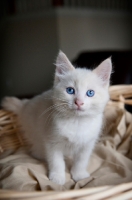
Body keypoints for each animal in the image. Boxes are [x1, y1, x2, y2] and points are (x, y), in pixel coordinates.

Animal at [1, 50, 112, 185]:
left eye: (90, 93)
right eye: (70, 90)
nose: (79, 102)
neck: (77, 122)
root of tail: (25, 105)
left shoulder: (87, 143)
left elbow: (81, 160)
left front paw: (79, 174)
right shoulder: (52, 141)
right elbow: (56, 161)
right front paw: (57, 177)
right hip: (35, 133)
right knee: (36, 148)